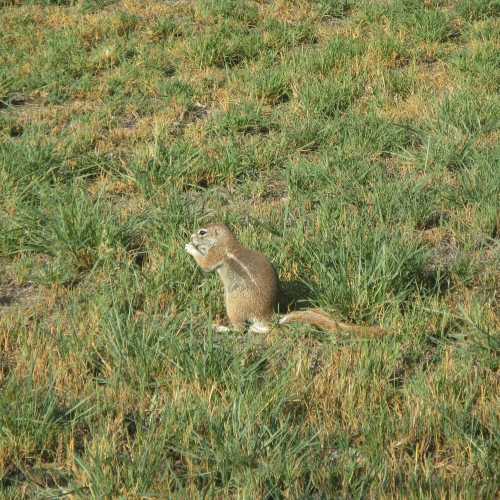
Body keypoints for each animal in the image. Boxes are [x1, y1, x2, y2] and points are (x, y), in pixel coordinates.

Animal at [186, 224, 384, 336]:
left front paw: (190, 247)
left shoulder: (216, 255)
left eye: (202, 232)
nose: (191, 236)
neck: (227, 243)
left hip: (233, 305)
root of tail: (268, 315)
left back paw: (221, 328)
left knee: (241, 329)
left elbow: (205, 264)